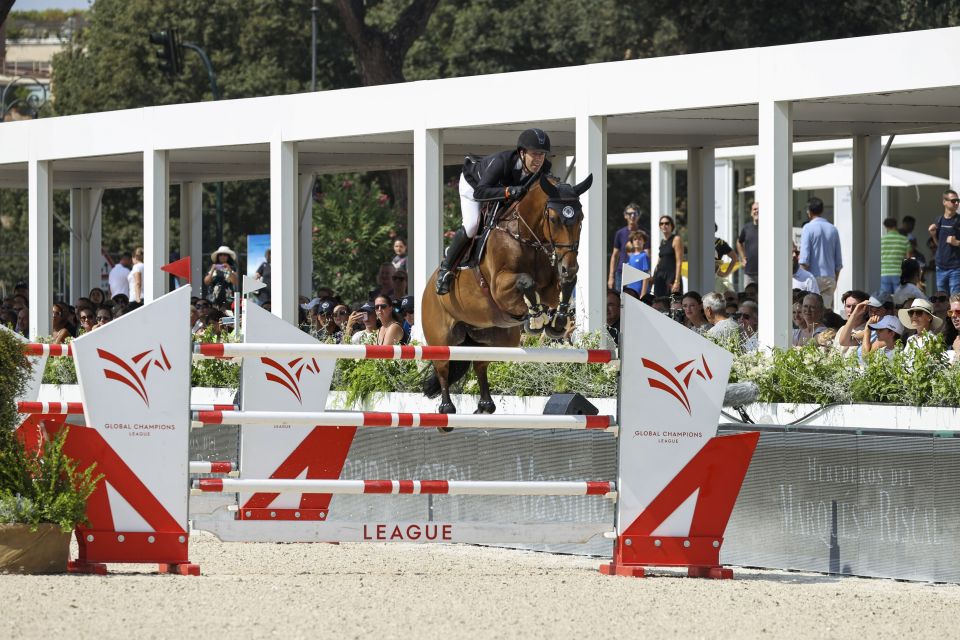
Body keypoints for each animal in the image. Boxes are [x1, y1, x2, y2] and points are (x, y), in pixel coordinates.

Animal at [422, 172, 592, 418]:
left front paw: (557, 321)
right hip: (441, 336)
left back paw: (485, 406)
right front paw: (536, 319)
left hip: (495, 338)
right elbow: (526, 282)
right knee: (443, 367)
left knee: (480, 364)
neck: (526, 236)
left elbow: (562, 287)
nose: (569, 267)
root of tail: (427, 289)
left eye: (580, 217)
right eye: (553, 219)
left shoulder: (550, 287)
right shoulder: (500, 288)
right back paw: (447, 408)